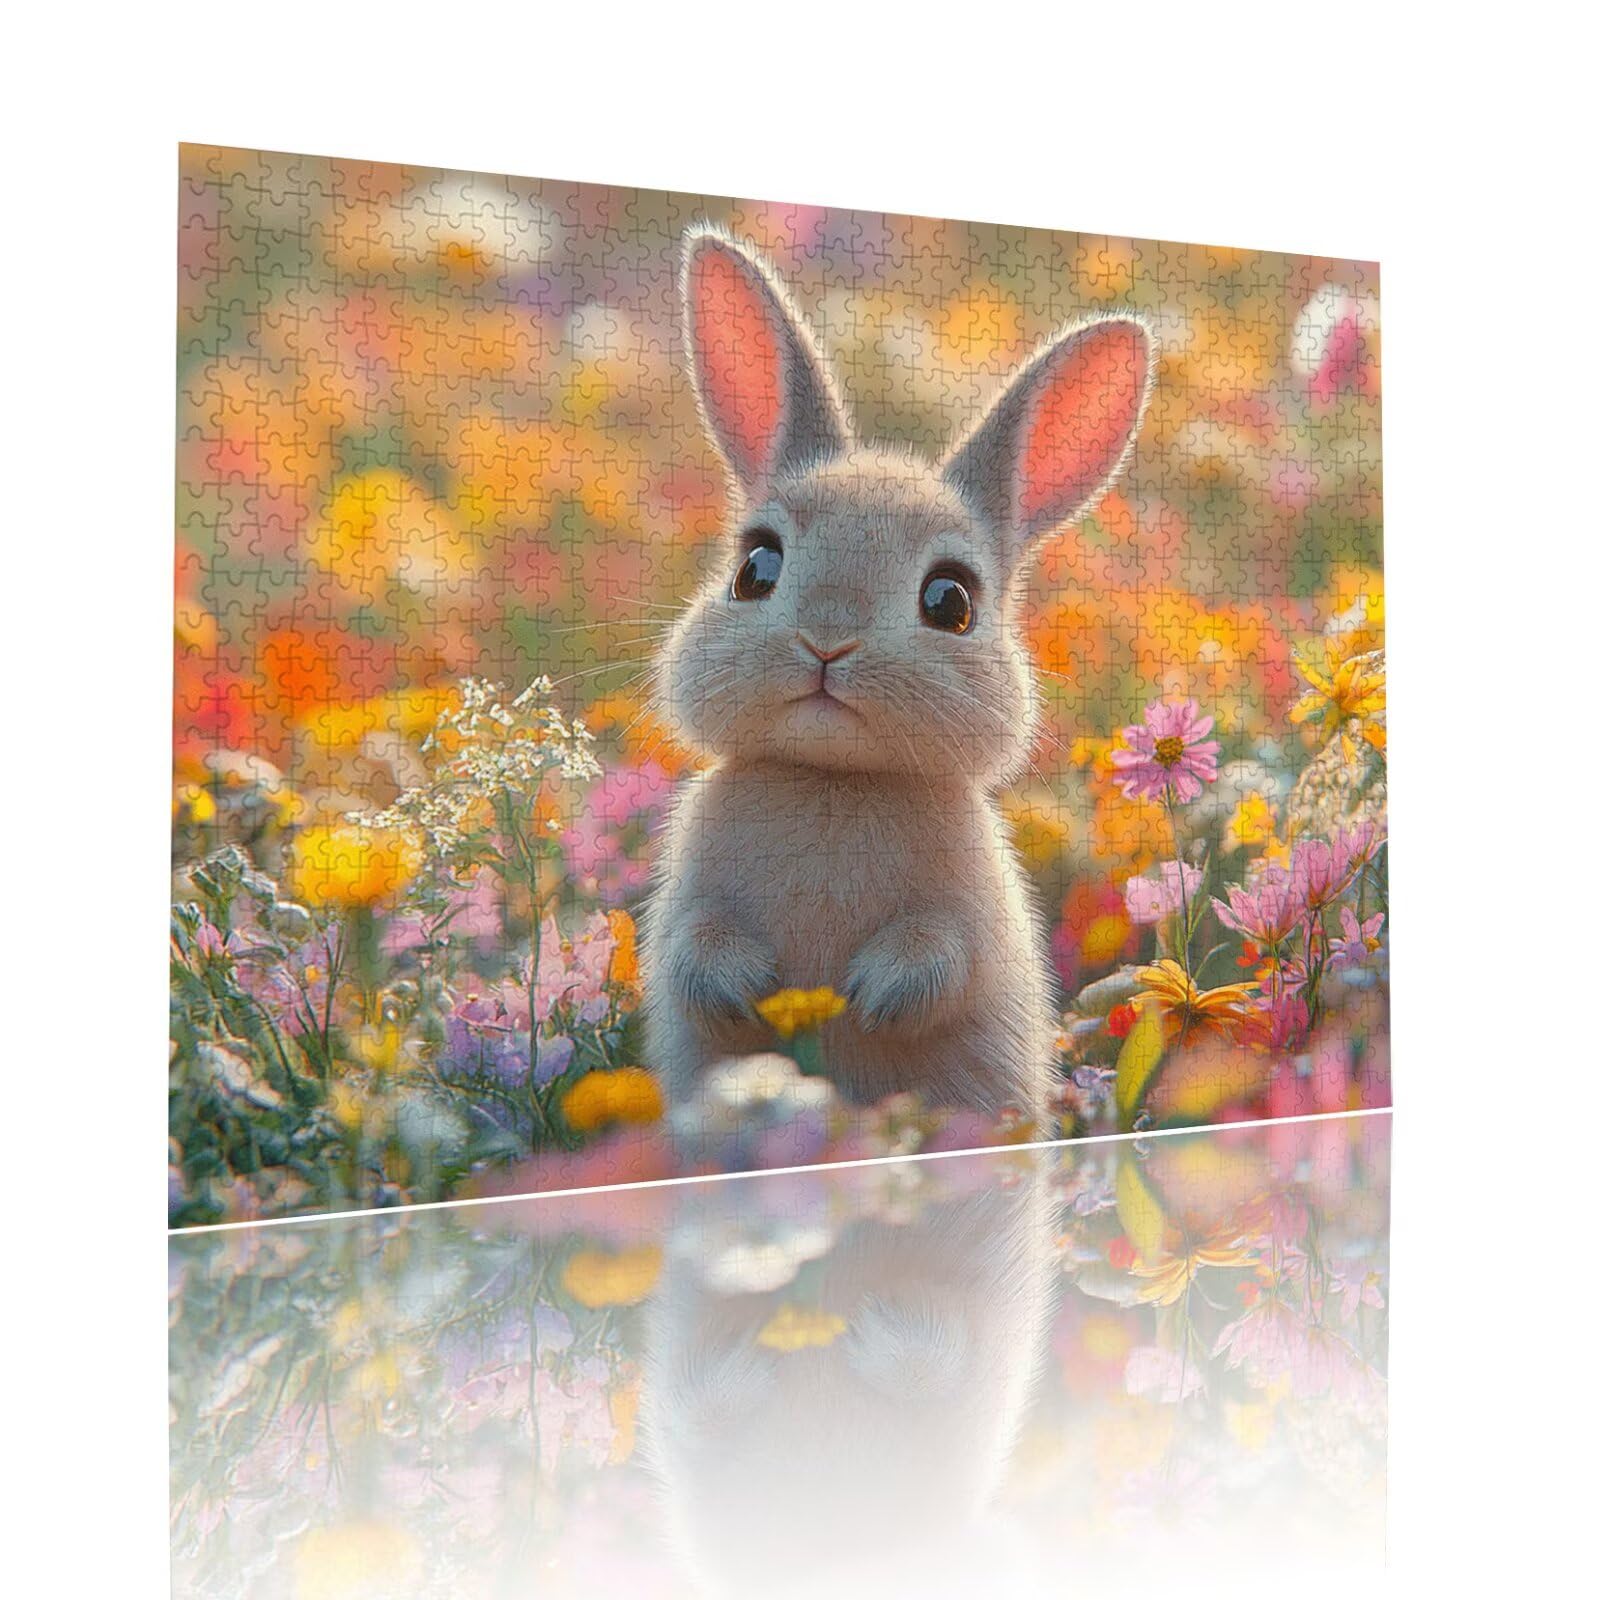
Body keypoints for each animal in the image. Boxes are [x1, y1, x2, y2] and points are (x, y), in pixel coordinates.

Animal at [642, 225, 1155, 1122]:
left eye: (951, 600)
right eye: (755, 568)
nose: (827, 641)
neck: (834, 779)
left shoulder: (973, 915)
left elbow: (945, 959)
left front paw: (871, 996)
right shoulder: (685, 895)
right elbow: (688, 948)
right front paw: (748, 989)